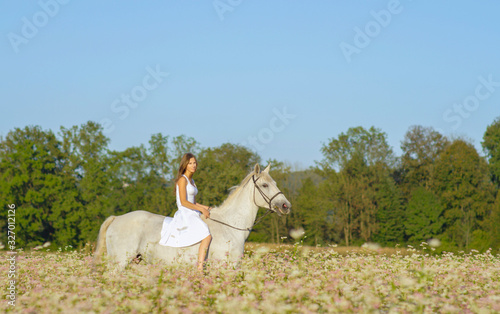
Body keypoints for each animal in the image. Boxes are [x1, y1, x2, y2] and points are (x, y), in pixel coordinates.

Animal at [93, 163, 292, 268]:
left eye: (274, 183)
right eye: (265, 185)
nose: (286, 206)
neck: (230, 227)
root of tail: (116, 218)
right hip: (119, 262)